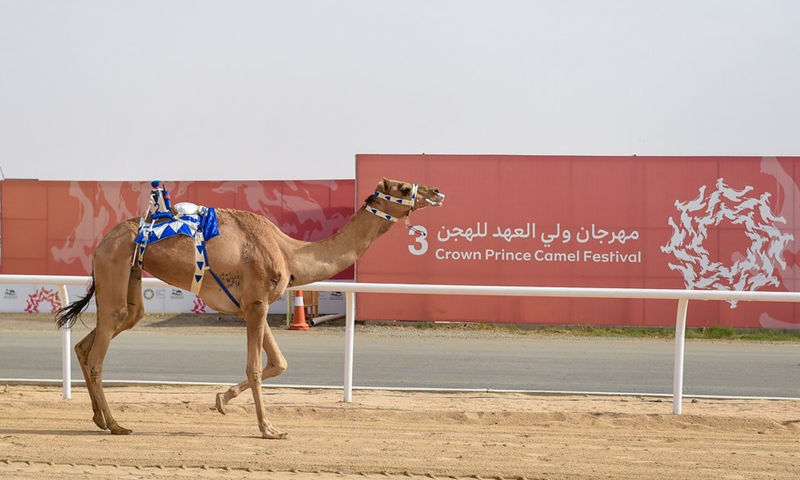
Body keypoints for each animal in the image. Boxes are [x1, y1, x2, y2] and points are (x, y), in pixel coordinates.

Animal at [56, 178, 445, 439]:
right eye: (402, 188)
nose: (437, 192)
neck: (289, 253)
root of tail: (100, 243)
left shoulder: (253, 306)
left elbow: (279, 363)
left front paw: (221, 400)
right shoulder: (257, 305)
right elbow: (257, 367)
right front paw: (268, 428)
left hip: (130, 279)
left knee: (92, 340)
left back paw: (99, 419)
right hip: (116, 267)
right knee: (98, 353)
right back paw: (116, 424)